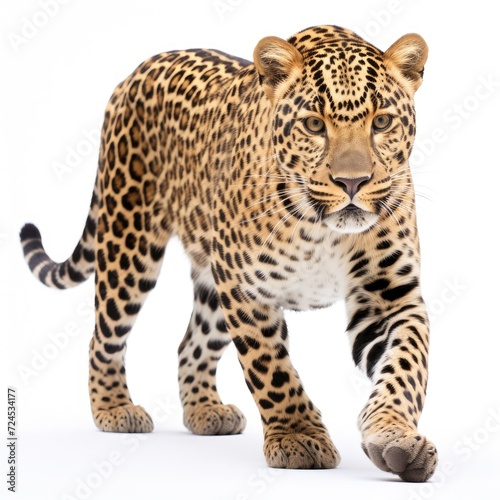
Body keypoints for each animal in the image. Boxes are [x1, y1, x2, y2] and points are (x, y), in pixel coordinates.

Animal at [20, 23, 438, 480]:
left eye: (382, 122)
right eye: (313, 125)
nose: (352, 182)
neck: (322, 232)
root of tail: (136, 72)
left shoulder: (388, 296)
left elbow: (406, 366)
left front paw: (395, 435)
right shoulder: (247, 290)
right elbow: (272, 370)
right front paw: (297, 437)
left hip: (211, 280)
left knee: (190, 345)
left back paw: (206, 410)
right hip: (128, 241)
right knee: (105, 335)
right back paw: (114, 408)